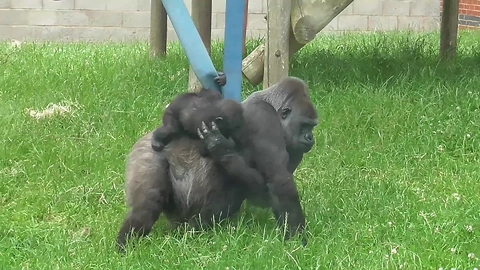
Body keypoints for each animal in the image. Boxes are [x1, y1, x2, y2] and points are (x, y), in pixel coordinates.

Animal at [116, 77, 318, 252]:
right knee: (146, 207)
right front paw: (298, 239)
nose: (310, 138)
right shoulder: (263, 117)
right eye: (305, 125)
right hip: (147, 154)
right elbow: (278, 181)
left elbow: (265, 193)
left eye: (313, 126)